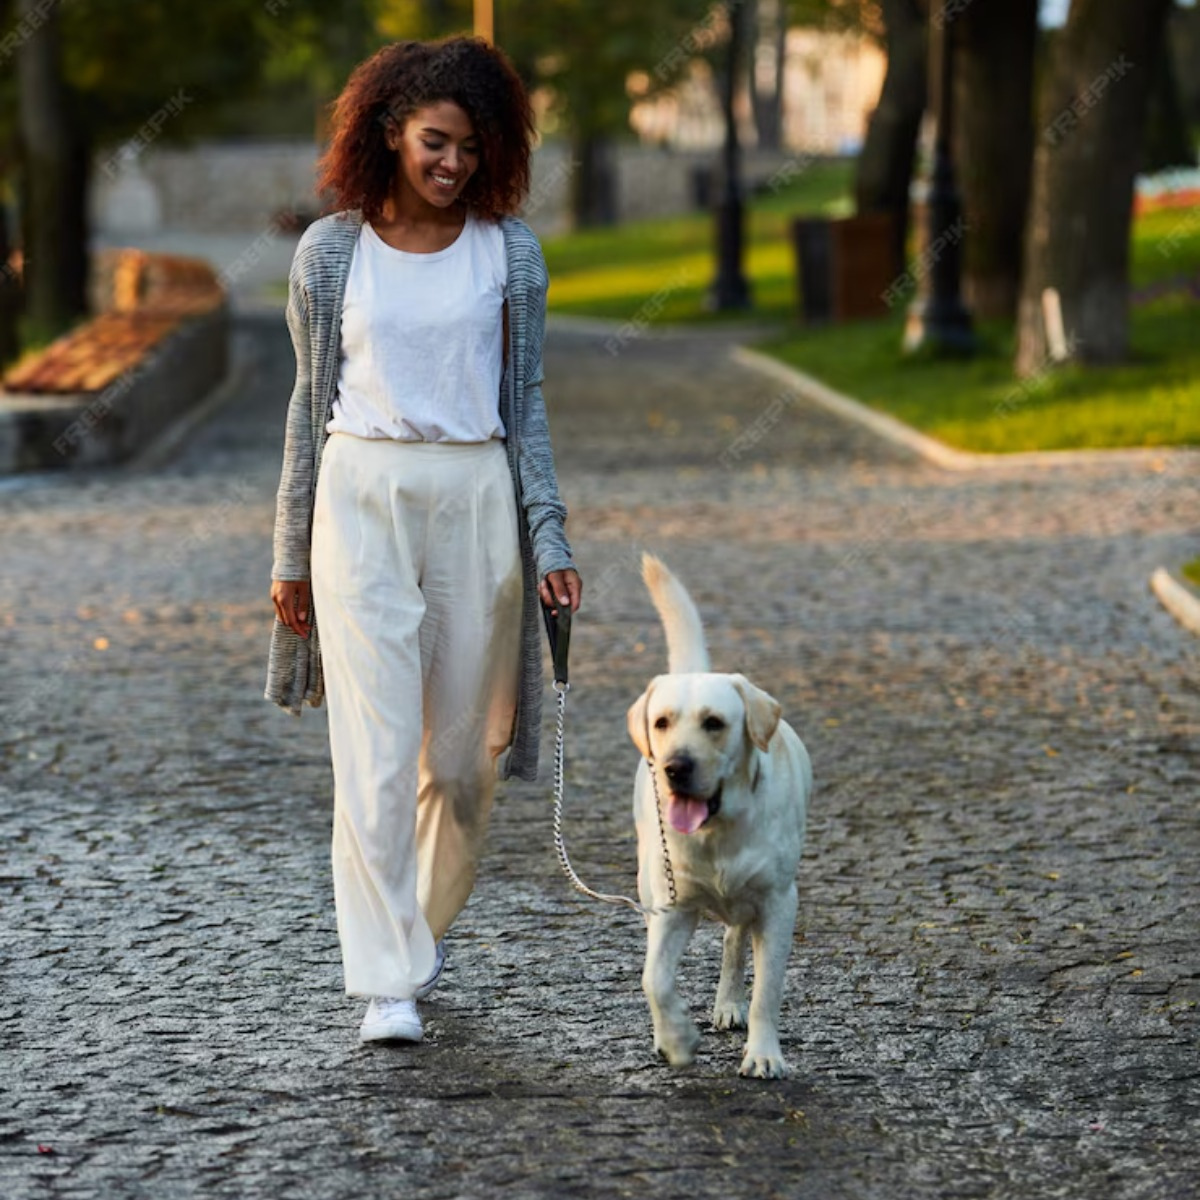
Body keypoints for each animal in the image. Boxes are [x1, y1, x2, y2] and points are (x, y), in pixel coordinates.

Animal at [624, 552, 811, 1080]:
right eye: (661, 722)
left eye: (714, 723)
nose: (675, 767)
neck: (717, 832)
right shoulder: (671, 908)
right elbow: (653, 979)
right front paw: (676, 1039)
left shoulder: (778, 904)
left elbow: (767, 991)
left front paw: (764, 1053)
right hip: (647, 888)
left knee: (733, 941)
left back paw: (729, 1003)